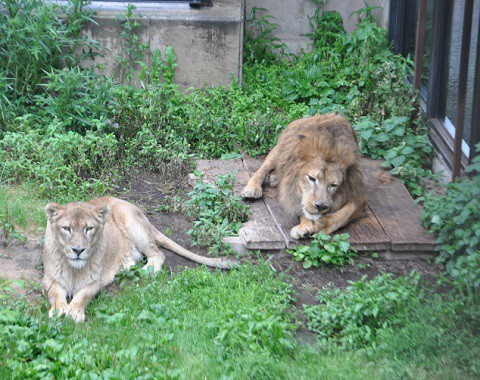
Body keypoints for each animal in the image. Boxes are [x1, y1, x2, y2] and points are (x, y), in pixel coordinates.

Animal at [42, 197, 236, 322]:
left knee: (157, 253)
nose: (78, 250)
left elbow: (83, 295)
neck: (74, 269)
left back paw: (144, 271)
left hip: (131, 222)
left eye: (89, 229)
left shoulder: (95, 282)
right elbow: (56, 294)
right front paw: (59, 310)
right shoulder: (49, 278)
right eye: (66, 228)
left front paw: (74, 311)